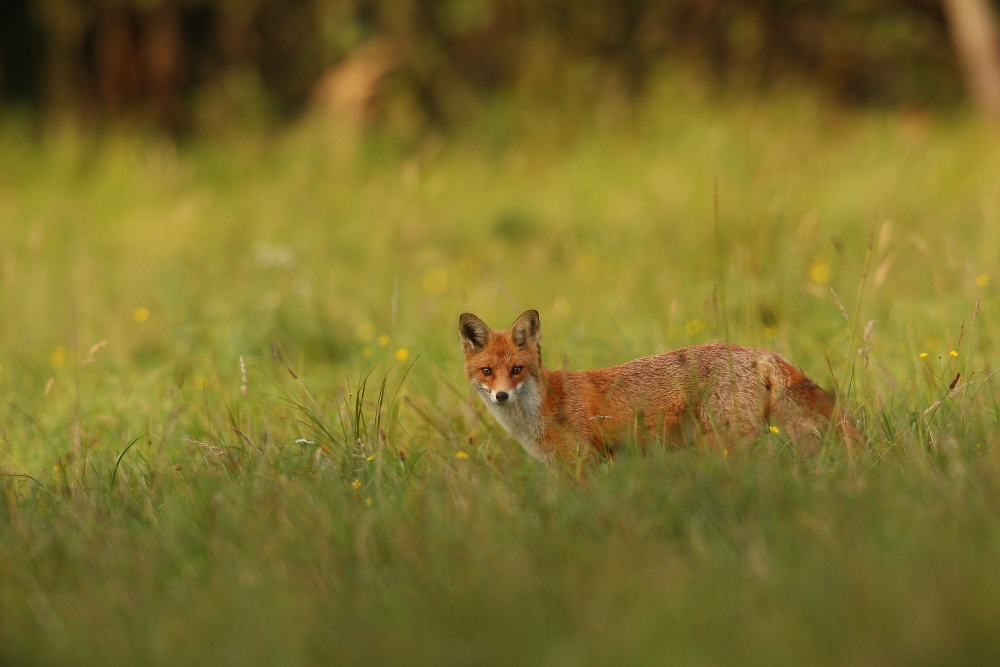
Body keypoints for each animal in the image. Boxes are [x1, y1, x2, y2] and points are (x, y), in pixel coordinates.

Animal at [458, 310, 860, 462]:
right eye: (487, 371)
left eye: (518, 369)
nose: (502, 395)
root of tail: (755, 351)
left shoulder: (581, 463)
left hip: (720, 445)